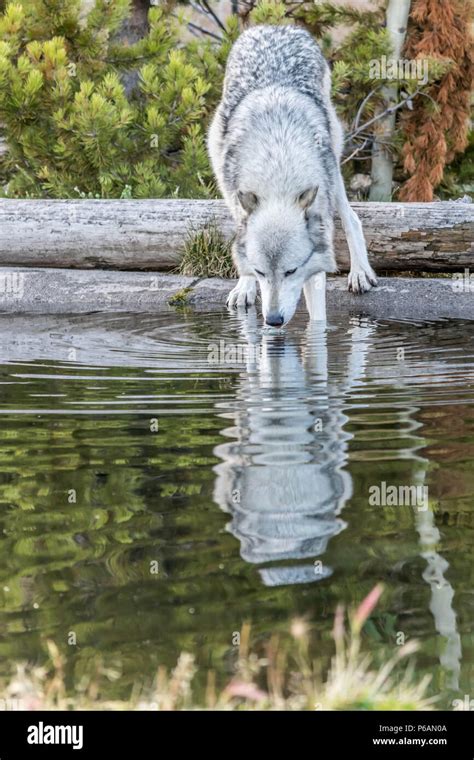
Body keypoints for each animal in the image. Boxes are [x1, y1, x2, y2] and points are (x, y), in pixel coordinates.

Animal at [207, 23, 378, 326]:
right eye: (262, 272)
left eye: (291, 271)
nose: (274, 320)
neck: (278, 168)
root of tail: (275, 27)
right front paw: (248, 287)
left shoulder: (315, 261)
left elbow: (317, 318)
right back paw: (243, 289)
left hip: (333, 164)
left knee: (351, 217)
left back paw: (360, 272)